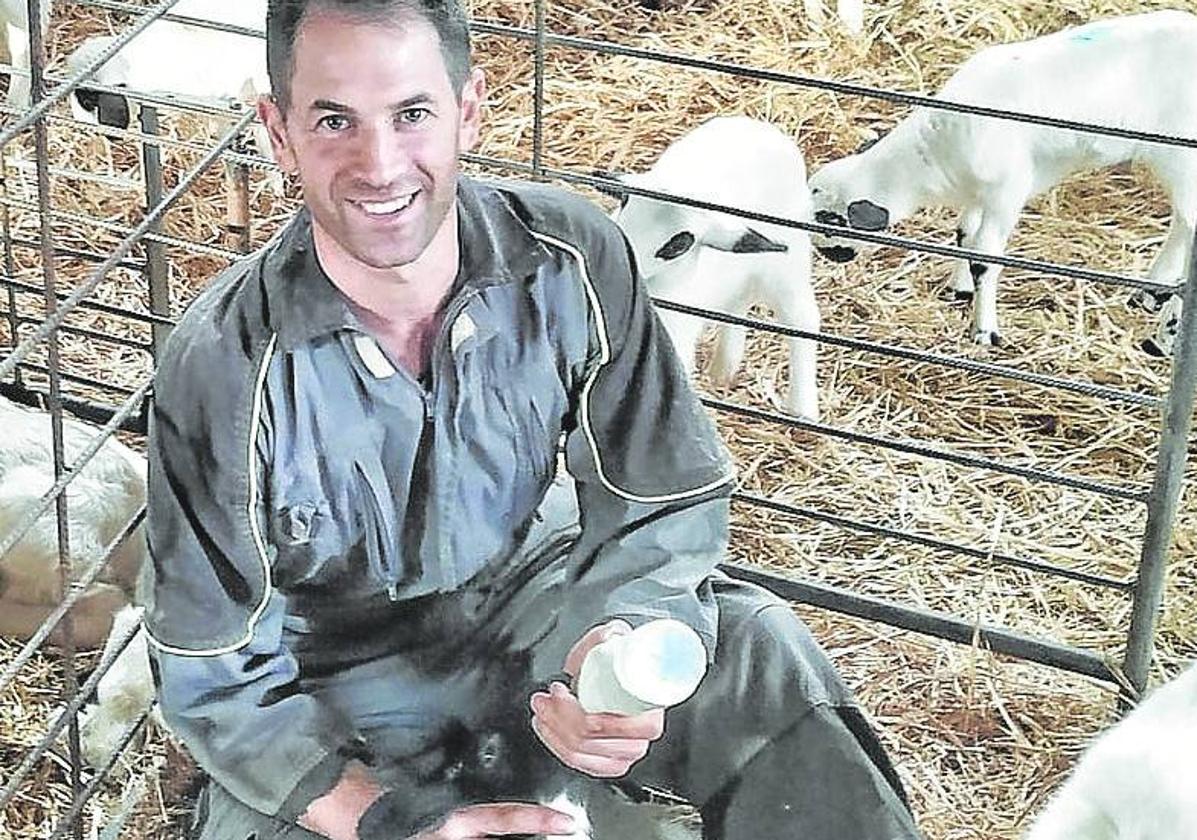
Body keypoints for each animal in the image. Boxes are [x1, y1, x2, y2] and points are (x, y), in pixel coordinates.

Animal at [608, 114, 823, 421]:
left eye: (679, 243)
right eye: (625, 202)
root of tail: (764, 129)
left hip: (786, 265)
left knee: (802, 319)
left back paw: (803, 409)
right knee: (737, 303)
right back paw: (723, 369)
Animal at [804, 10, 1197, 344]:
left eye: (830, 221)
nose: (824, 255)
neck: (930, 154)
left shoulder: (1006, 192)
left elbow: (984, 258)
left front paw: (984, 331)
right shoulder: (976, 193)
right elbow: (963, 236)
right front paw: (959, 290)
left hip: (1180, 158)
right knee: (1182, 223)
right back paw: (1151, 294)